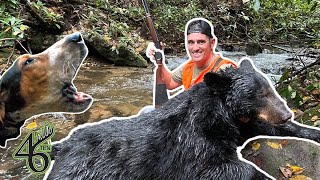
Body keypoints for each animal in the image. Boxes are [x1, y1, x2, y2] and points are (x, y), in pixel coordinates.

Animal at [47, 58, 320, 179]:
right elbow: (223, 168)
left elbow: (264, 128)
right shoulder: (192, 144)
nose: (286, 113)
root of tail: (63, 145)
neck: (219, 114)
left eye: (271, 89)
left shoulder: (236, 125)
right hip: (86, 167)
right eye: (259, 94)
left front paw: (311, 131)